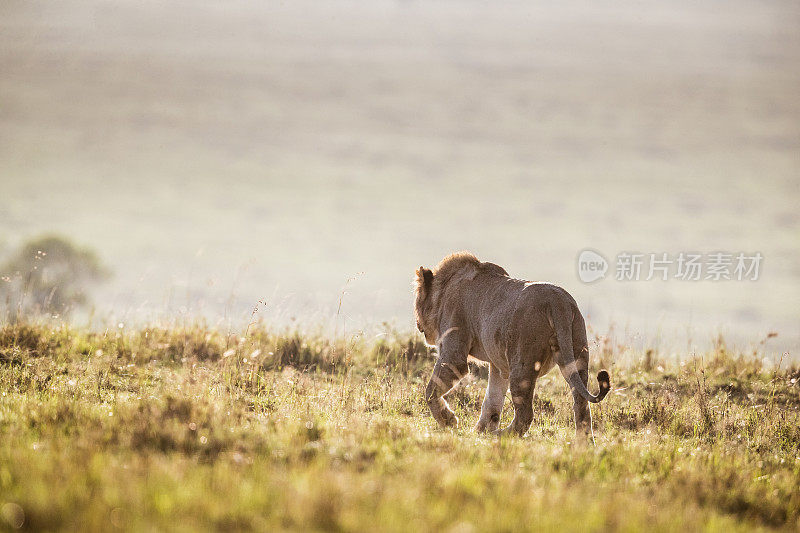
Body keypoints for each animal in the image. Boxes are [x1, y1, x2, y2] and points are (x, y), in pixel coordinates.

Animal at [416, 251, 608, 438]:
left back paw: (500, 435)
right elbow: (492, 400)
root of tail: (558, 301)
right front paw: (480, 431)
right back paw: (583, 444)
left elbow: (430, 391)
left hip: (522, 365)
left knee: (525, 414)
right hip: (576, 355)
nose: (418, 325)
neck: (443, 291)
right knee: (581, 404)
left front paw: (449, 421)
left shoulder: (453, 354)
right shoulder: (498, 365)